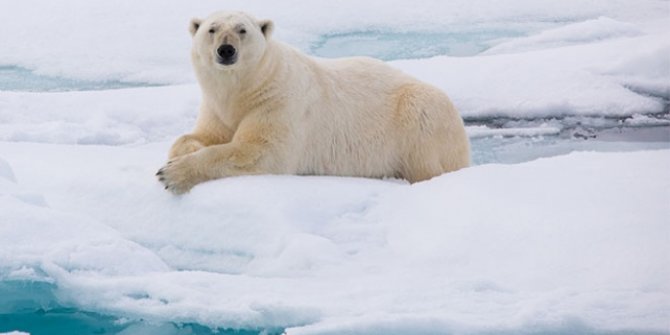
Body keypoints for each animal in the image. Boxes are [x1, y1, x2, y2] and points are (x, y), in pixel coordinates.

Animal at [159, 11, 472, 194]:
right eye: (211, 29)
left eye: (242, 30)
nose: (226, 50)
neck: (247, 86)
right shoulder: (216, 105)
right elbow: (203, 134)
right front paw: (183, 152)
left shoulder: (278, 100)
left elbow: (259, 151)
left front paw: (171, 174)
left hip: (421, 115)